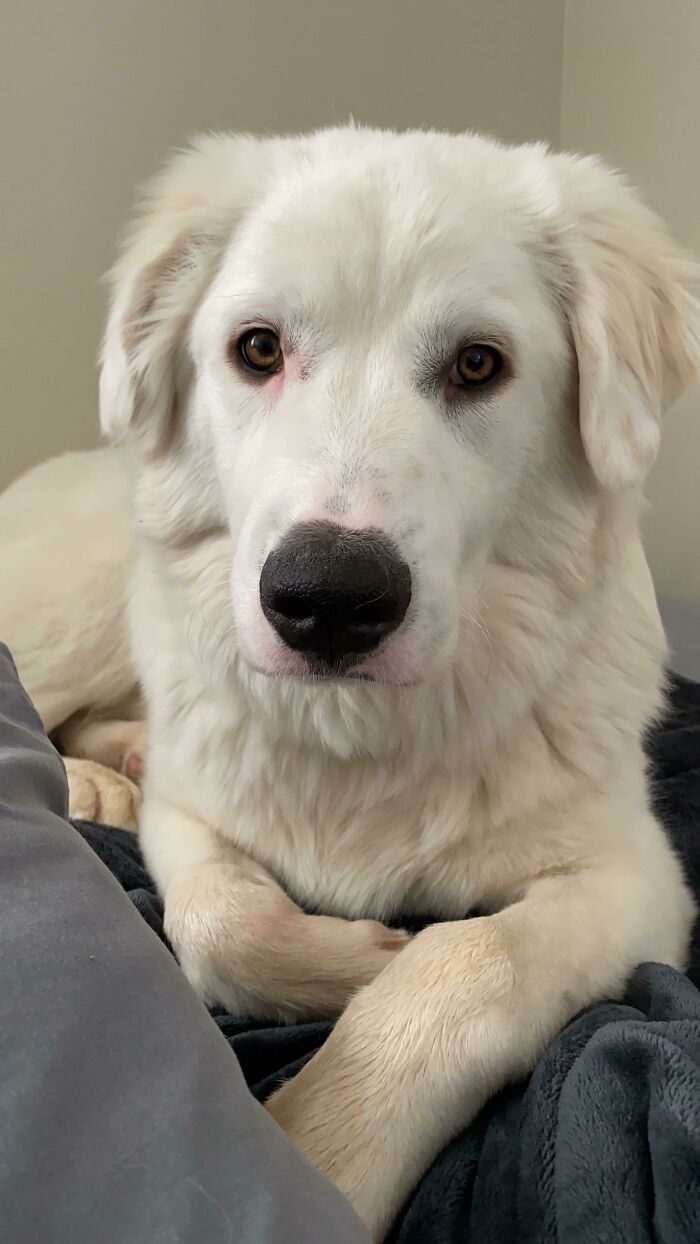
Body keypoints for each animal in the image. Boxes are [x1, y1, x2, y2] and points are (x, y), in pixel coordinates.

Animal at [2, 126, 696, 1234]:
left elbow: (470, 958)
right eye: (257, 349)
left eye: (477, 364)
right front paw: (360, 956)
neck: (357, 729)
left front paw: (332, 1140)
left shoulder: (633, 879)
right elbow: (219, 923)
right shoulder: (193, 815)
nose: (326, 599)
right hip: (80, 605)